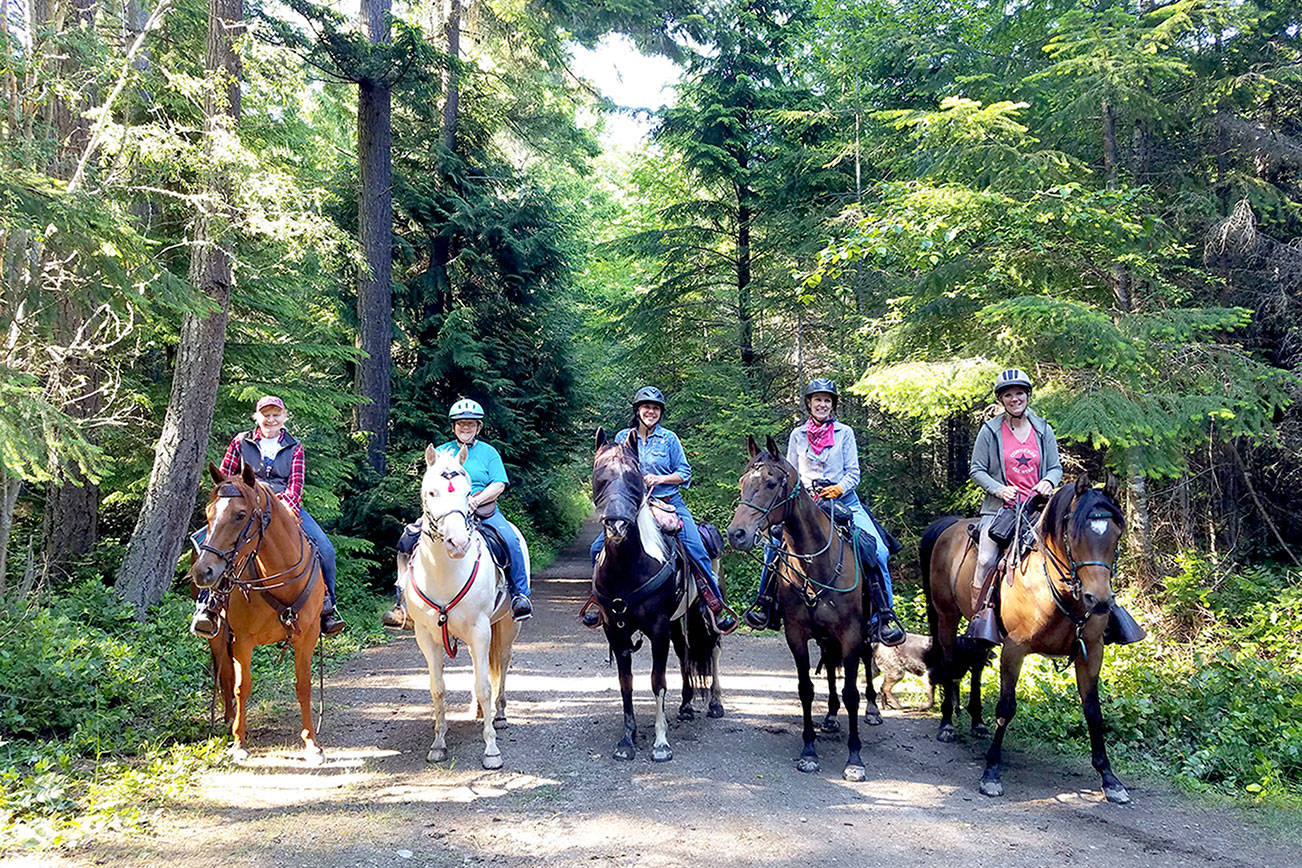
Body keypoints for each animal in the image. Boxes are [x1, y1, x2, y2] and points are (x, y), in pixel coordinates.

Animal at [190, 465, 328, 765]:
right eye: (208, 512)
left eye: (240, 515)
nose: (203, 571)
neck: (281, 578)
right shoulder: (243, 640)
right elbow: (242, 686)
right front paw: (239, 742)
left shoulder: (307, 638)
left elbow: (303, 686)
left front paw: (312, 743)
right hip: (218, 635)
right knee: (226, 676)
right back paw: (229, 722)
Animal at [403, 445, 520, 770]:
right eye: (432, 492)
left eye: (469, 493)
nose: (458, 543)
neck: (444, 572)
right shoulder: (426, 637)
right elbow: (438, 689)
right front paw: (438, 744)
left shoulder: (481, 631)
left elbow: (485, 685)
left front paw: (491, 750)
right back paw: (480, 711)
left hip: (507, 626)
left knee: (501, 664)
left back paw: (498, 714)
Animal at [591, 426, 723, 759]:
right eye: (599, 475)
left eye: (634, 477)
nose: (616, 526)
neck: (627, 567)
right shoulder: (616, 632)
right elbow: (626, 683)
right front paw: (627, 740)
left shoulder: (658, 628)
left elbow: (658, 681)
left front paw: (661, 743)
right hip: (678, 621)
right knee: (685, 652)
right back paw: (687, 705)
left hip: (704, 613)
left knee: (713, 648)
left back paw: (716, 703)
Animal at [729, 434, 880, 780]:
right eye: (743, 482)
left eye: (771, 483)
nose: (736, 534)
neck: (816, 565)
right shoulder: (796, 634)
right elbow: (805, 689)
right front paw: (809, 751)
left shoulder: (851, 634)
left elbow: (852, 692)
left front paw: (855, 759)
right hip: (825, 637)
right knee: (830, 667)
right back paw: (831, 717)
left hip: (866, 631)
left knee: (867, 662)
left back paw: (873, 709)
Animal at [921, 476, 1135, 801]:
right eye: (1073, 535)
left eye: (1116, 534)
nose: (1098, 600)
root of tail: (950, 525)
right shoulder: (1014, 648)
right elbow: (1006, 708)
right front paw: (991, 772)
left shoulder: (1091, 652)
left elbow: (1094, 713)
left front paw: (1109, 778)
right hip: (945, 616)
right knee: (948, 662)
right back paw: (947, 724)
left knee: (976, 664)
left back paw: (976, 721)